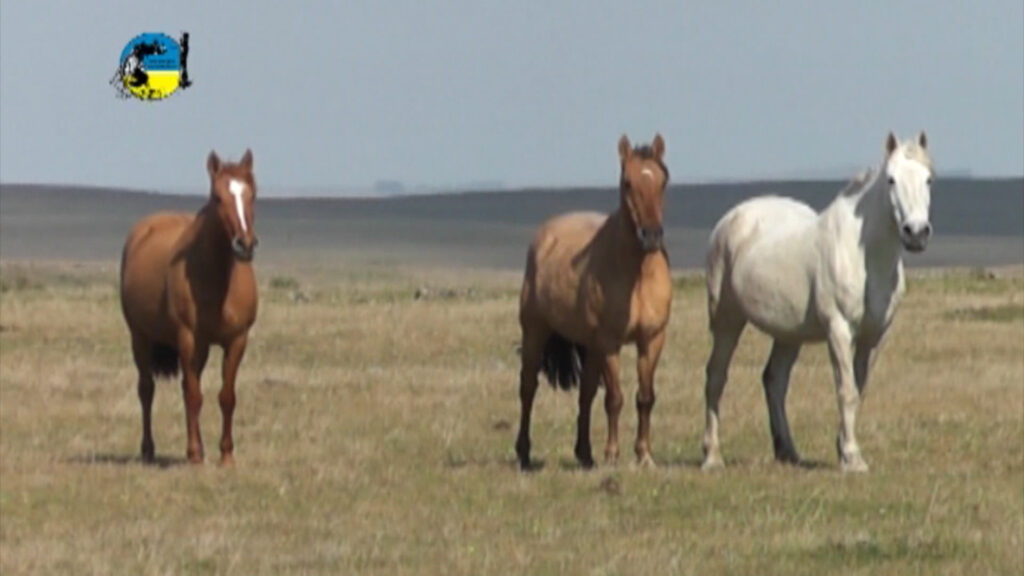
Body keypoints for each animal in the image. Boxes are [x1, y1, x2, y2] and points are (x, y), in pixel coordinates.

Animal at [120, 150, 260, 465]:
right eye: (218, 197)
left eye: (252, 194)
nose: (244, 244)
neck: (218, 279)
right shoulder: (187, 338)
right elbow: (194, 396)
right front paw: (195, 455)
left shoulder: (237, 340)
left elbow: (226, 397)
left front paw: (226, 455)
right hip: (140, 338)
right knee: (147, 389)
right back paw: (148, 450)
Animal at [515, 134, 673, 470]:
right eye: (627, 183)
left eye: (663, 180)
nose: (651, 236)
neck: (637, 274)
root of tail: (544, 235)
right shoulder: (610, 342)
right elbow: (614, 399)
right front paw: (613, 455)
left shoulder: (651, 339)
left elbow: (645, 397)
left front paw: (644, 455)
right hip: (536, 332)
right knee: (528, 388)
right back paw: (523, 453)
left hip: (590, 347)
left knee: (585, 393)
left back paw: (585, 454)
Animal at [701, 131, 933, 473]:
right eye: (891, 179)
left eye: (929, 179)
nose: (916, 233)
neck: (864, 255)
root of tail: (730, 220)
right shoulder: (838, 329)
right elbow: (846, 391)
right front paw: (852, 458)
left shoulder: (874, 337)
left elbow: (858, 390)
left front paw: (844, 450)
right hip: (727, 320)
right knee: (716, 377)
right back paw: (712, 456)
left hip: (787, 333)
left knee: (774, 380)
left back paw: (788, 451)